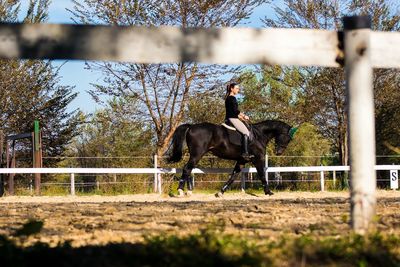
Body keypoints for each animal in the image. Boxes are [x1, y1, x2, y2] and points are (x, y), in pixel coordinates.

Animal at [166, 120, 296, 198]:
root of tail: (191, 126)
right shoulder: (258, 159)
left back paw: (188, 191)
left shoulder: (242, 161)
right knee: (187, 169)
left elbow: (233, 176)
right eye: (288, 138)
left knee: (189, 169)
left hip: (195, 155)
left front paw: (220, 192)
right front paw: (268, 192)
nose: (279, 152)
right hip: (197, 154)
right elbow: (262, 175)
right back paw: (181, 191)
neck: (259, 135)